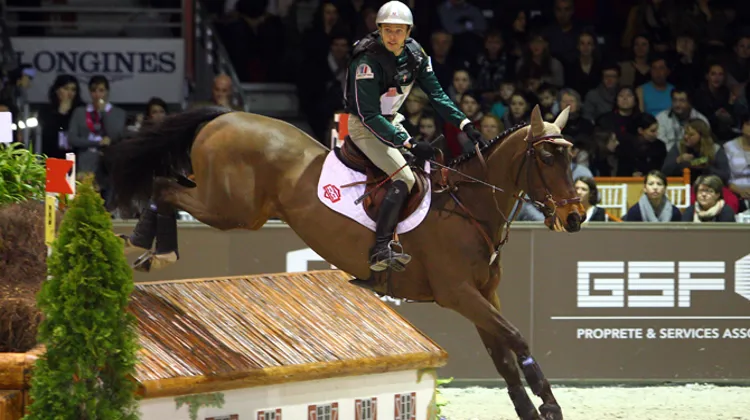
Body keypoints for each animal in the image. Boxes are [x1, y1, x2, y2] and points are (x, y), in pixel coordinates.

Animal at [105, 104, 584, 420]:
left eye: (572, 154)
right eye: (547, 157)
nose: (574, 218)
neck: (470, 206)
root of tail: (225, 115)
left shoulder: (484, 294)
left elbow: (503, 354)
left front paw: (533, 406)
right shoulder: (460, 294)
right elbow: (516, 339)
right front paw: (549, 402)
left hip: (232, 205)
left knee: (168, 182)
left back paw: (151, 247)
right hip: (229, 208)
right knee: (164, 185)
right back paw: (152, 245)